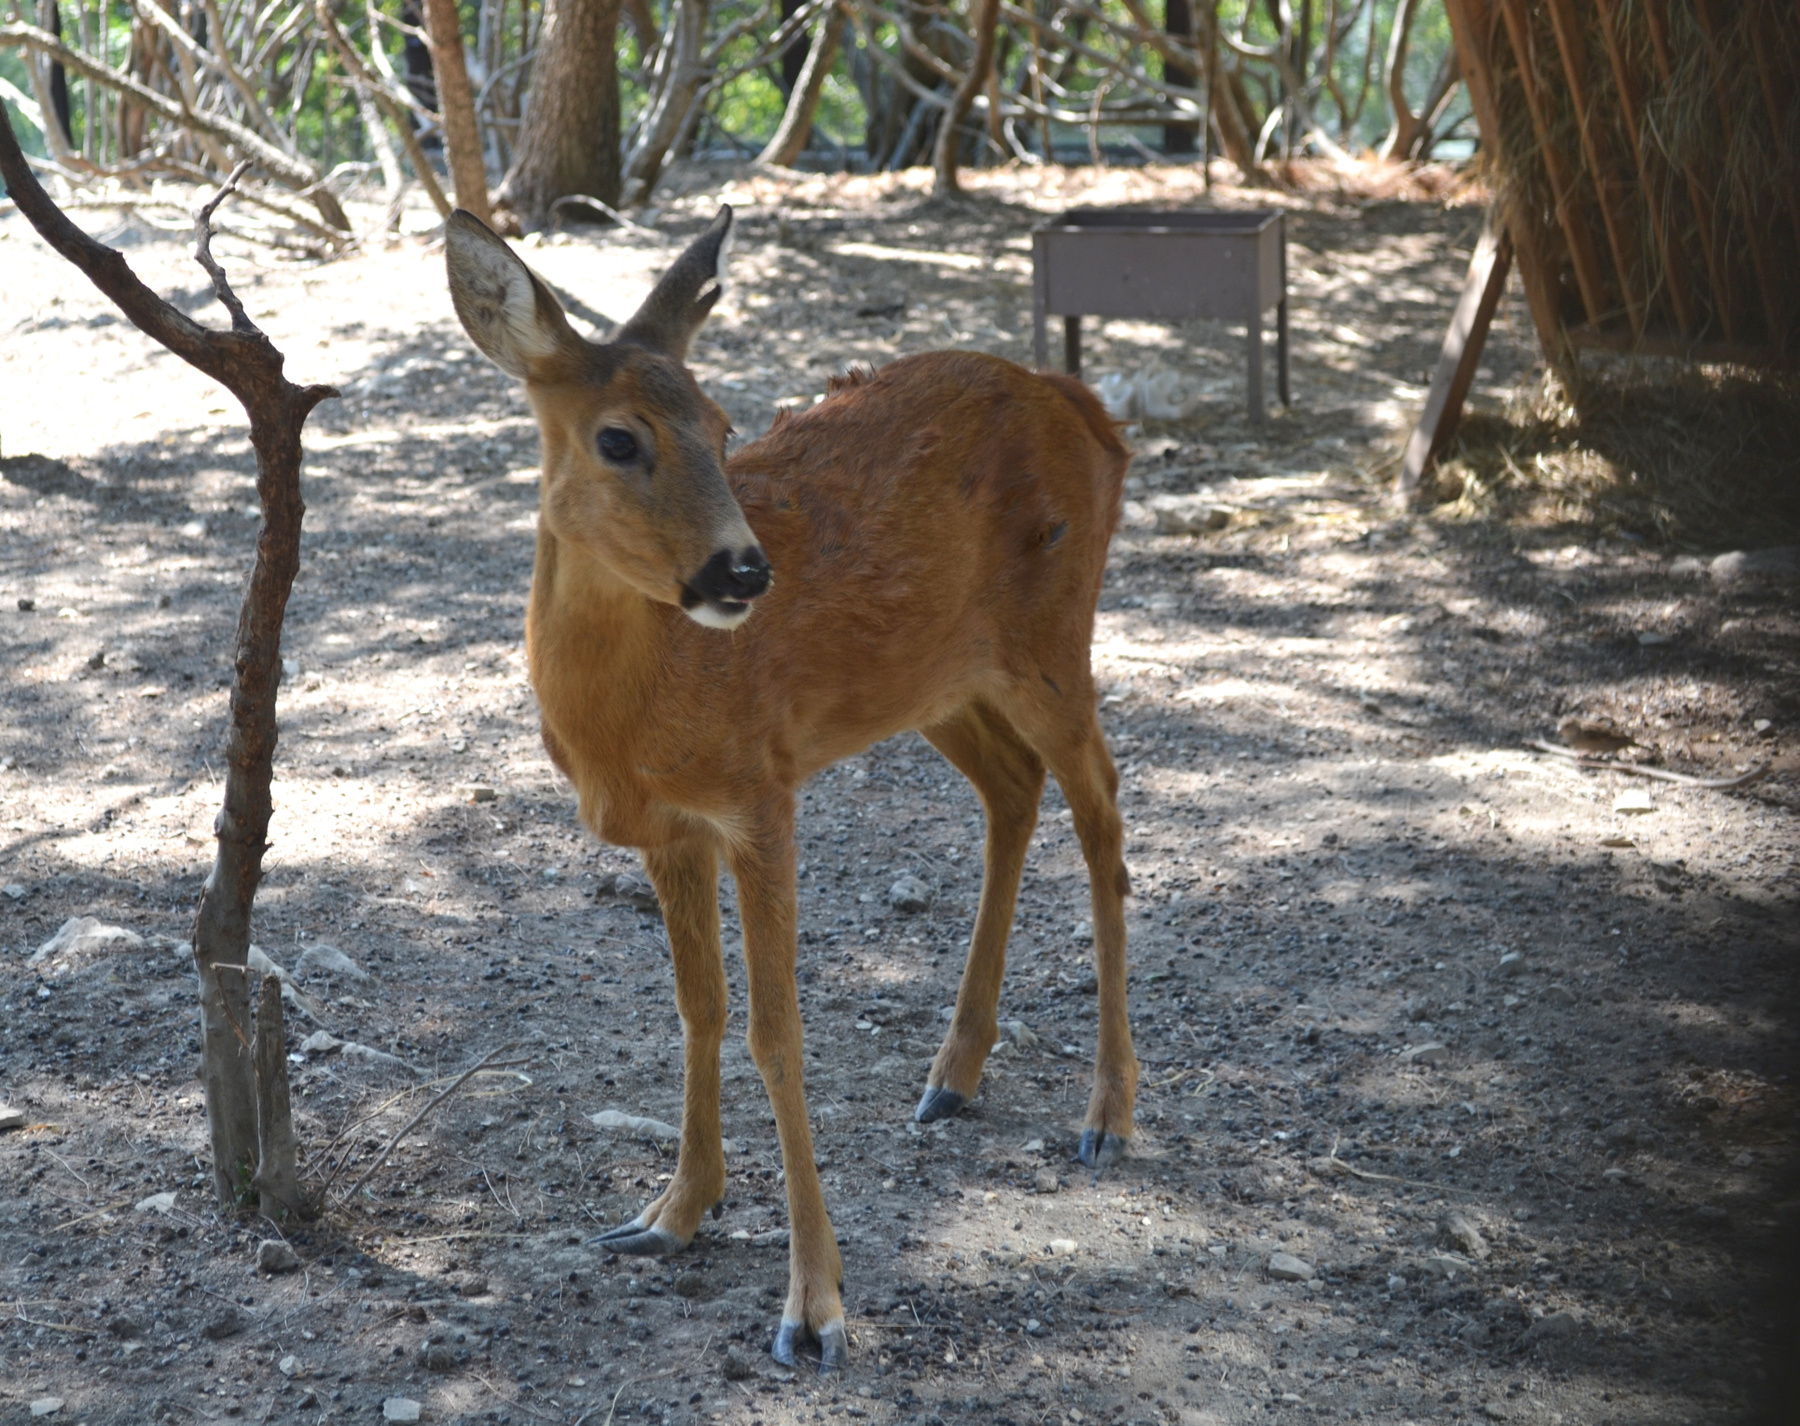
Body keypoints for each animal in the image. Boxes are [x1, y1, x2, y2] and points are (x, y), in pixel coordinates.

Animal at [444, 205, 1138, 1372]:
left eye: (726, 428)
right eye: (619, 437)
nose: (743, 571)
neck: (636, 715)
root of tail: (1088, 411)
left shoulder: (762, 793)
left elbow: (777, 1031)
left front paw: (814, 1308)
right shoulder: (670, 831)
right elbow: (700, 1007)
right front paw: (670, 1213)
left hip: (1053, 634)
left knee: (1105, 811)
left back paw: (1109, 1113)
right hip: (938, 678)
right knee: (1016, 788)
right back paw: (952, 1075)